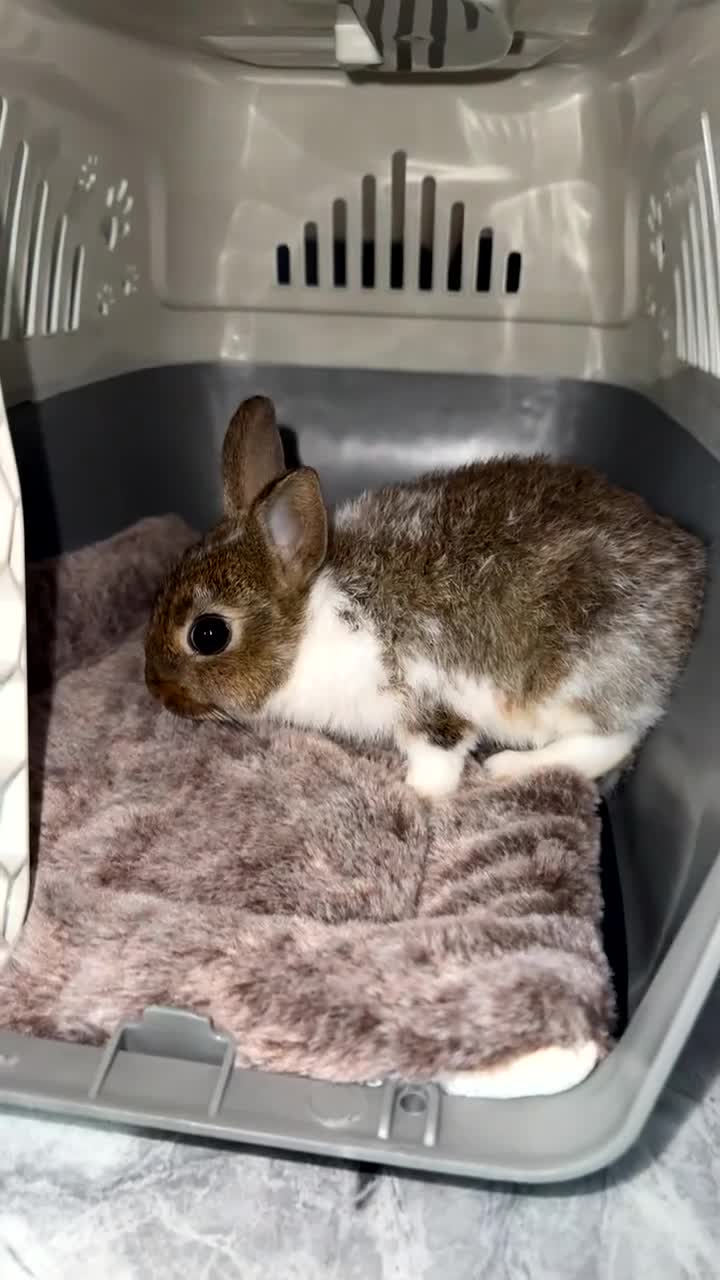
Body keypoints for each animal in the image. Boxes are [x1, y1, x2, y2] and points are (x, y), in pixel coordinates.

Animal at [145, 395, 706, 800]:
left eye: (209, 634)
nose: (157, 691)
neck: (308, 624)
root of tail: (691, 571)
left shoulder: (427, 700)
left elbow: (438, 756)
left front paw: (413, 795)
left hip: (569, 683)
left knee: (612, 739)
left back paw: (508, 767)